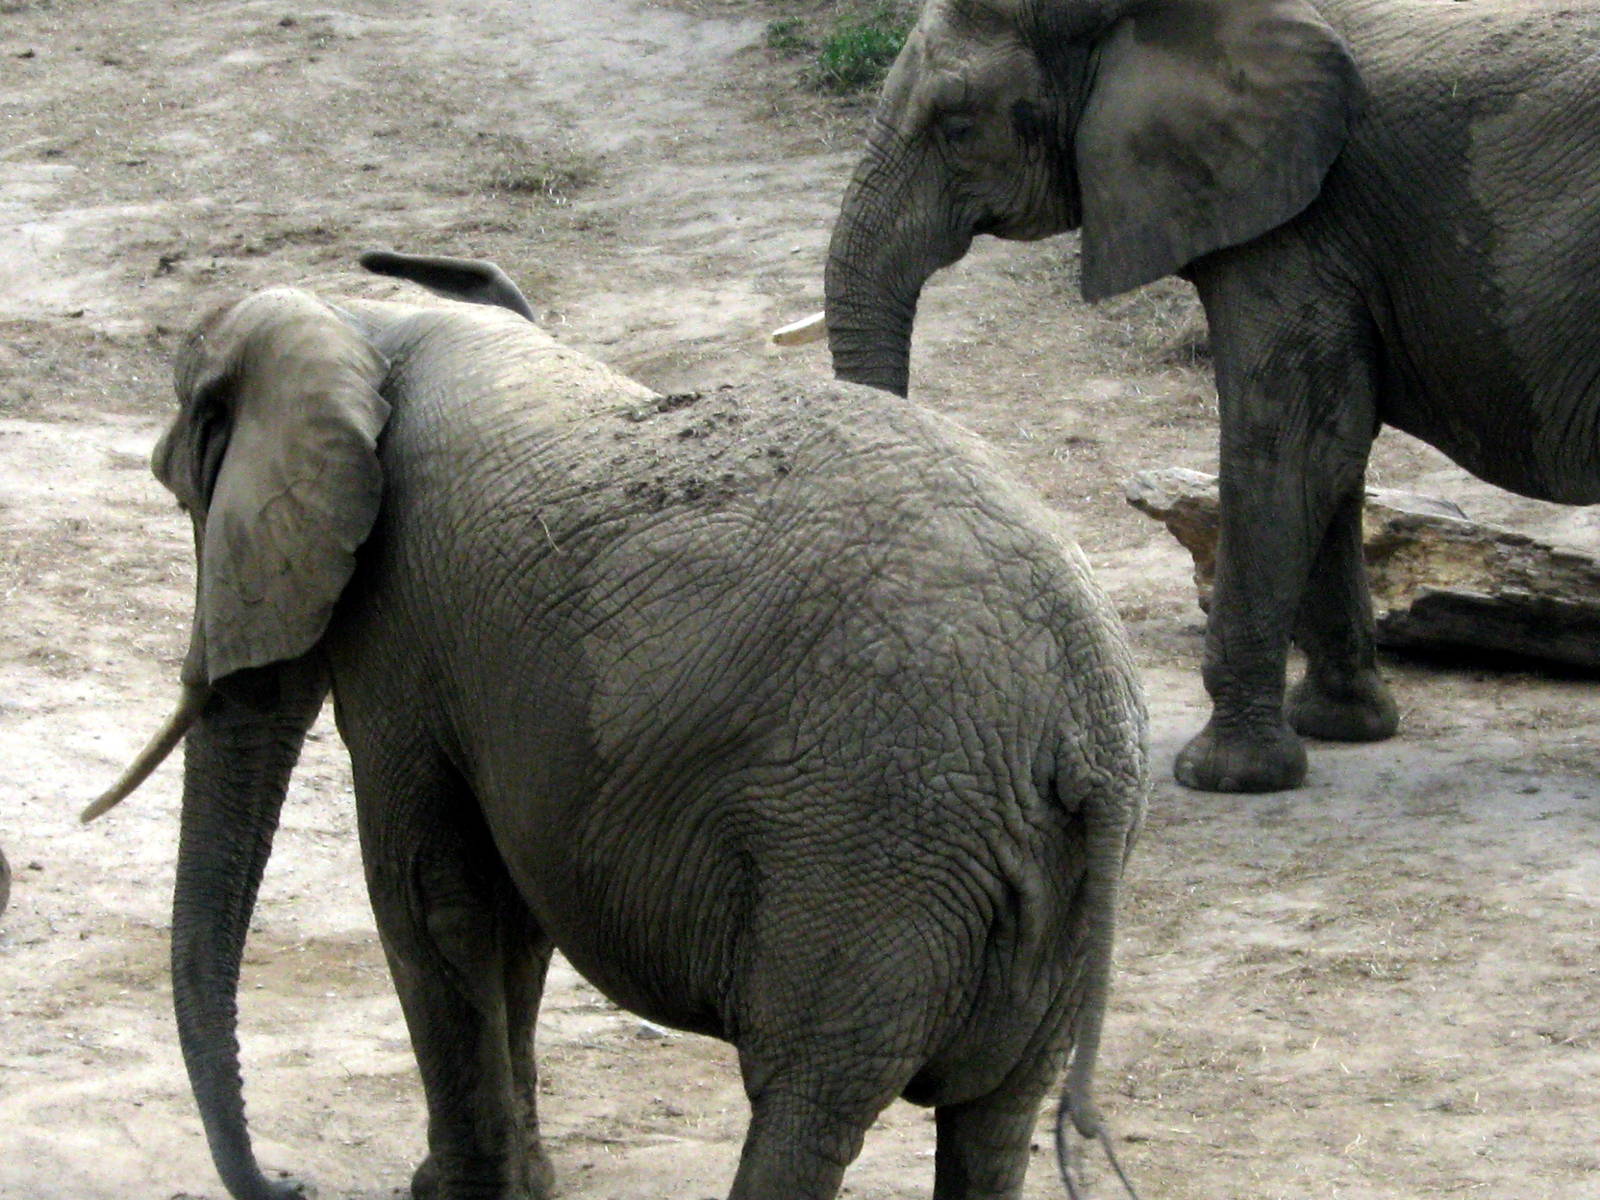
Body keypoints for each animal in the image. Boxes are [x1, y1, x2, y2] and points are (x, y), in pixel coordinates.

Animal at [91, 250, 1149, 1200]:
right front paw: (515, 1184)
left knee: (806, 1106)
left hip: (873, 854)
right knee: (994, 1122)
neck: (365, 321)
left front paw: (462, 1193)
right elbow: (507, 915)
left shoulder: (404, 631)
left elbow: (429, 899)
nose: (293, 1184)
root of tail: (1086, 719)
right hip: (1032, 892)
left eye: (185, 495)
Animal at [824, 0, 1600, 792]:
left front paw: (1226, 775)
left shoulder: (1297, 222)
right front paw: (1344, 726)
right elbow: (1332, 450)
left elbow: (1288, 449)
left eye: (957, 126)